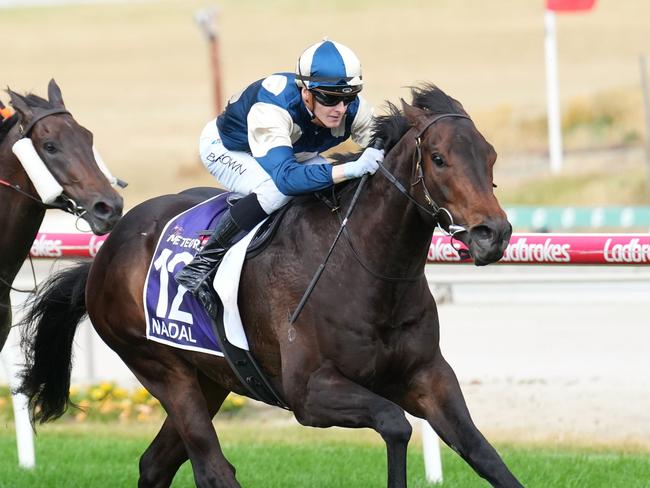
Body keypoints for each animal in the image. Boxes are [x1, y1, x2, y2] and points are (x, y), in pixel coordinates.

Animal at [17, 86, 520, 486]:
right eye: (439, 159)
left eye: (491, 156)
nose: (493, 234)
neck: (366, 269)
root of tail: (105, 253)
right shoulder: (309, 394)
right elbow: (395, 424)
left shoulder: (429, 377)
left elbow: (485, 455)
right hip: (161, 369)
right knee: (212, 468)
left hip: (210, 377)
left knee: (155, 464)